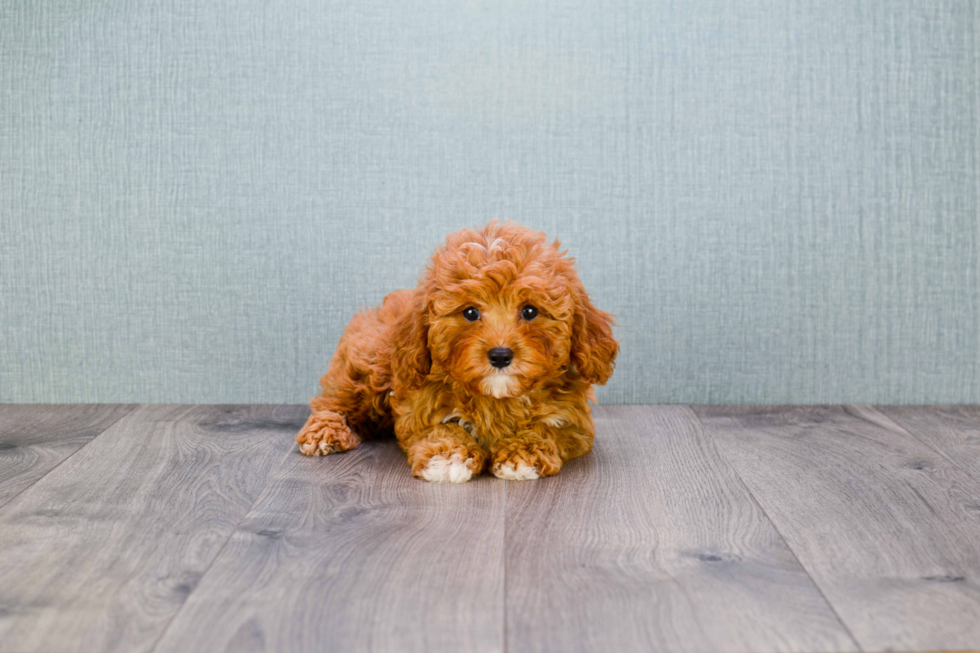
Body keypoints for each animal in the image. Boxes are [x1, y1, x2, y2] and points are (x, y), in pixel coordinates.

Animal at [290, 222, 616, 482]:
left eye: (530, 311)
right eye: (470, 312)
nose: (500, 355)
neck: (497, 398)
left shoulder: (574, 422)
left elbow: (545, 428)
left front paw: (522, 453)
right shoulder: (419, 409)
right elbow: (441, 430)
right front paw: (449, 457)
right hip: (371, 368)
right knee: (334, 400)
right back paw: (326, 432)